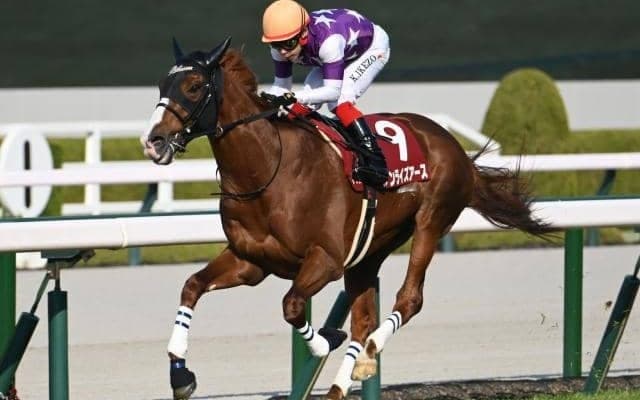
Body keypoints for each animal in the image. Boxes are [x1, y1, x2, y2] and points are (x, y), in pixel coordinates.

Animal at [140, 37, 551, 400]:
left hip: (430, 223)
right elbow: (192, 286)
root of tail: (455, 148)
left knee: (408, 300)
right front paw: (181, 375)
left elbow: (292, 307)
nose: (153, 142)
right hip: (370, 250)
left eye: (194, 86)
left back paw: (369, 354)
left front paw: (326, 340)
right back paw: (343, 383)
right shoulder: (250, 261)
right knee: (363, 318)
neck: (267, 169)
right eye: (162, 84)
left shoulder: (326, 259)